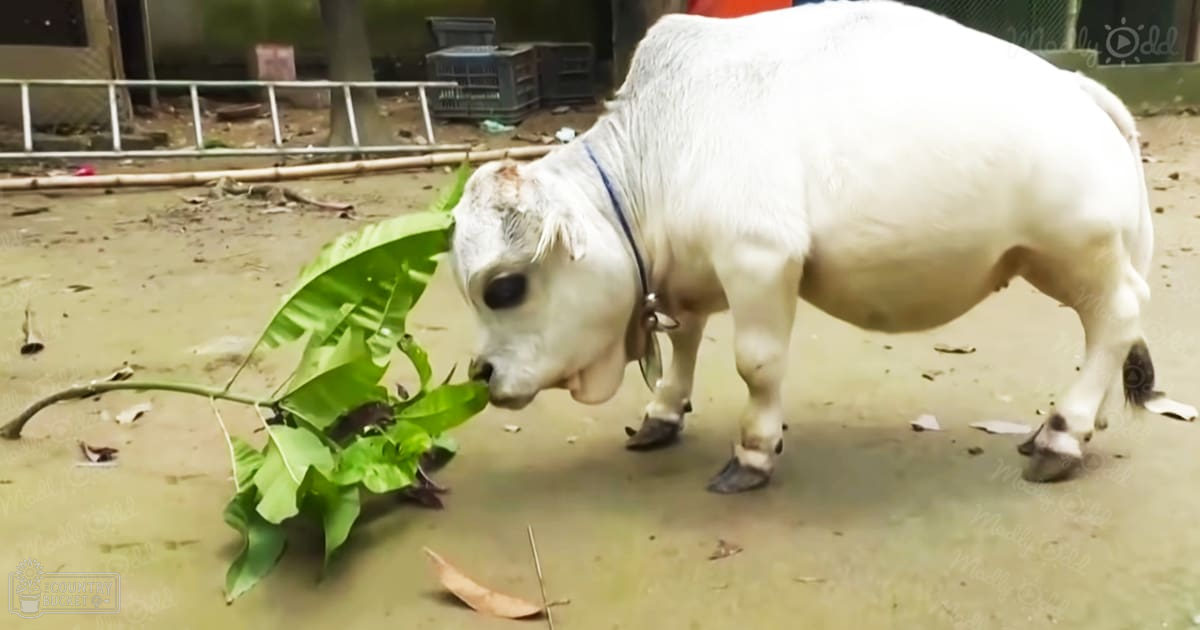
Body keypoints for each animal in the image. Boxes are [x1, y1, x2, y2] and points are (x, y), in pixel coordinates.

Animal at [447, 0, 1196, 493]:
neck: (659, 149)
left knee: (1117, 319)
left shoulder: (759, 260)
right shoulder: (691, 276)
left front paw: (753, 451)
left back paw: (1063, 435)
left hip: (1076, 251)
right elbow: (684, 344)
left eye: (504, 287)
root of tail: (1081, 88)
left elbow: (755, 364)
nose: (481, 376)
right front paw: (662, 412)